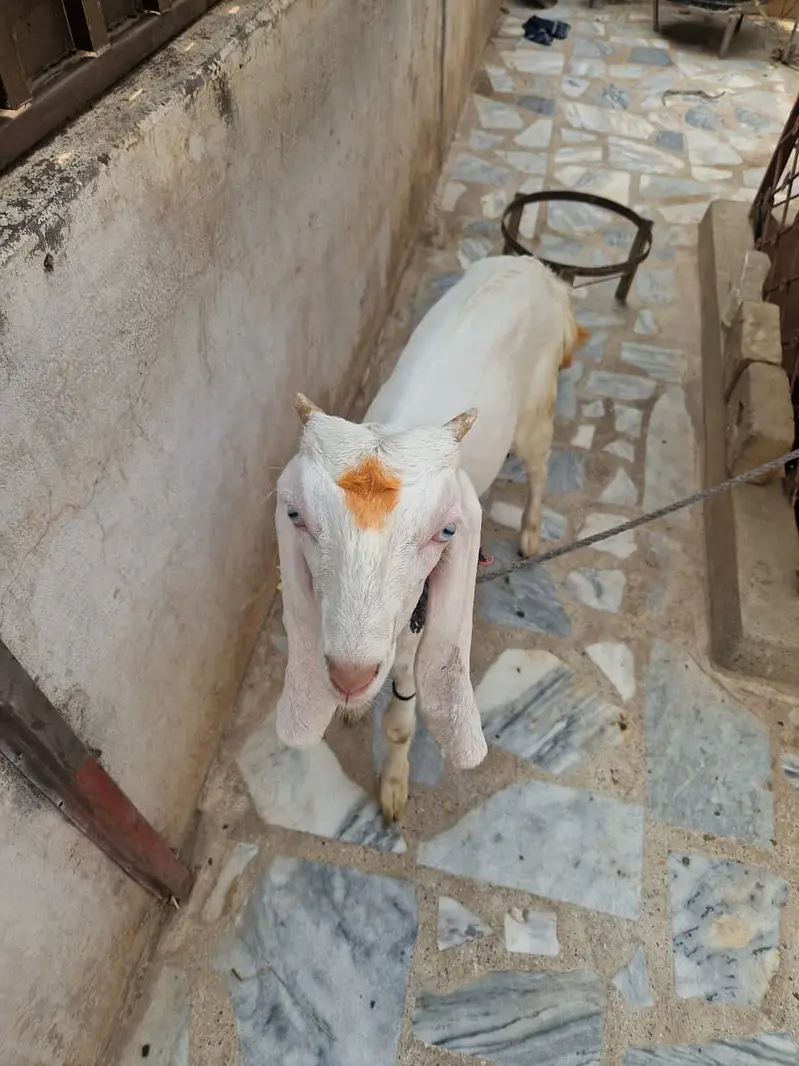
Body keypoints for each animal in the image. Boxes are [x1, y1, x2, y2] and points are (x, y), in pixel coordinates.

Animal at [275, 255, 586, 820]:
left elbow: (401, 720)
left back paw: (531, 532)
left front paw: (394, 789)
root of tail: (537, 268)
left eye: (446, 531)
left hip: (537, 408)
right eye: (295, 515)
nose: (350, 675)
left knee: (540, 462)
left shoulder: (414, 625)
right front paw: (351, 708)